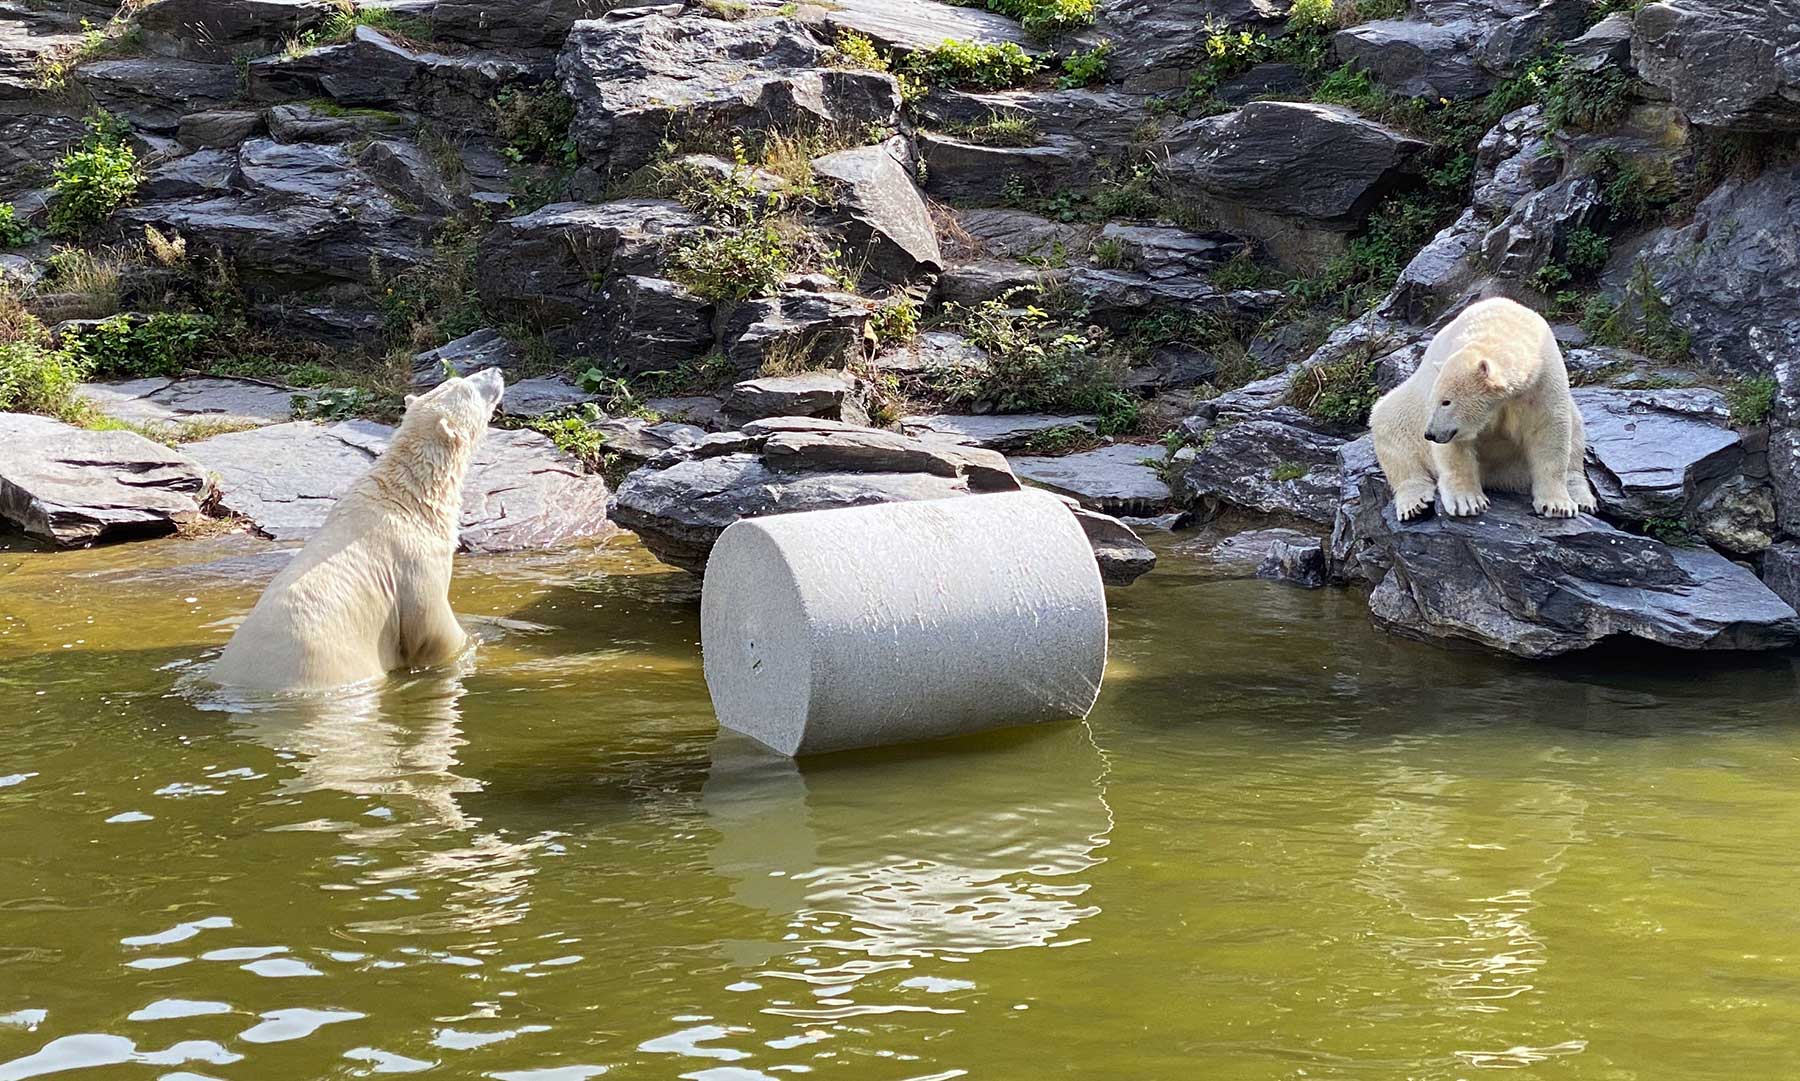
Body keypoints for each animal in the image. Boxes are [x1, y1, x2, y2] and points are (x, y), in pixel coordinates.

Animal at [212, 368, 507, 690]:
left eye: (454, 382)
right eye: (465, 387)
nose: (496, 371)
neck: (407, 499)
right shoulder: (413, 564)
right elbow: (435, 630)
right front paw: (474, 642)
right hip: (327, 665)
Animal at [1368, 294, 1598, 518]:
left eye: (1446, 401)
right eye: (1435, 400)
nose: (1430, 434)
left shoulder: (1541, 382)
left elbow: (1549, 431)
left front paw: (1558, 505)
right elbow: (1455, 450)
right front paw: (1468, 502)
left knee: (1576, 435)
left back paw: (1583, 499)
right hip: (1408, 408)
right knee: (1390, 428)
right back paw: (1415, 504)